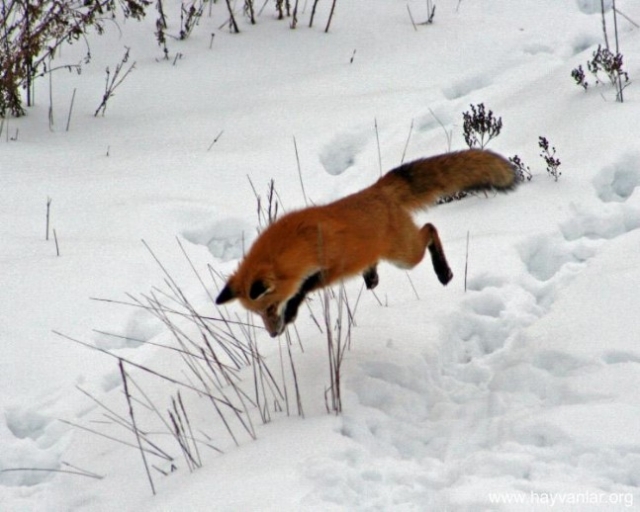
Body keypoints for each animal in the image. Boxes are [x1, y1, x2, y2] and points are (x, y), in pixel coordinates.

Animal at [218, 148, 516, 336]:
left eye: (270, 308)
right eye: (257, 314)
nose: (272, 334)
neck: (298, 243)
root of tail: (378, 189)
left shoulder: (331, 269)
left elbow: (303, 289)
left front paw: (291, 313)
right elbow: (302, 287)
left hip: (405, 256)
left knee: (430, 229)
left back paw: (443, 271)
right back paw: (372, 276)